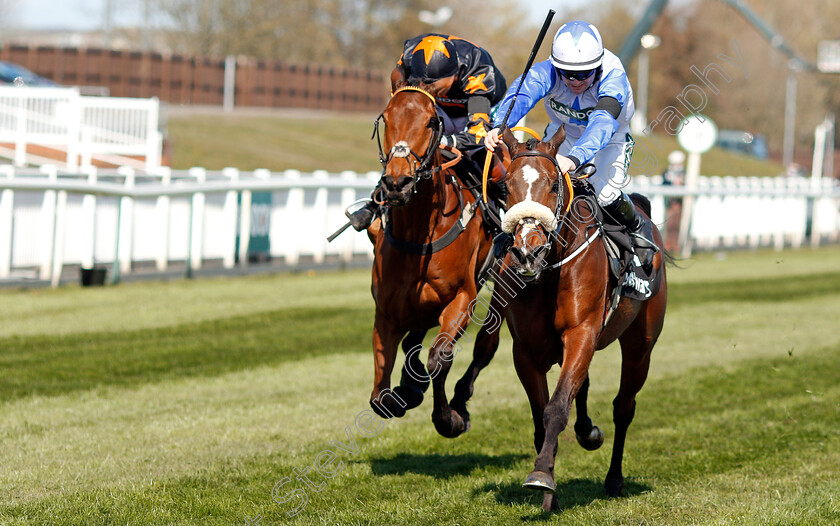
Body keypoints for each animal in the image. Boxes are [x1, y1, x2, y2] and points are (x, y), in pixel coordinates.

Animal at [366, 86, 506, 440]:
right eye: (386, 118)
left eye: (431, 121)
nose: (397, 183)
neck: (418, 236)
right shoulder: (387, 310)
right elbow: (379, 397)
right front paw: (404, 391)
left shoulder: (461, 299)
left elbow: (439, 358)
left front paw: (449, 419)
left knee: (487, 343)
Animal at [492, 126, 668, 512]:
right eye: (506, 187)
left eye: (553, 185)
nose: (527, 252)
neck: (548, 273)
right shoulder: (525, 350)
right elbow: (541, 415)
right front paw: (548, 491)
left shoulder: (582, 332)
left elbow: (556, 408)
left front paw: (541, 476)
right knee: (584, 386)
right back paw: (588, 433)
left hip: (642, 343)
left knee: (624, 406)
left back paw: (614, 478)